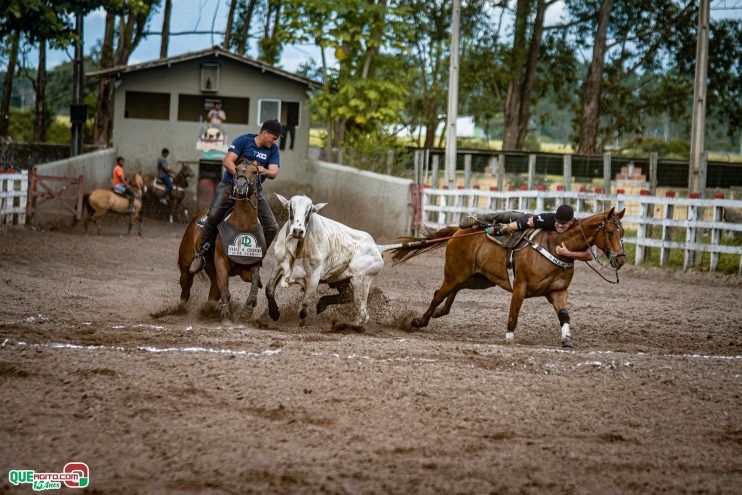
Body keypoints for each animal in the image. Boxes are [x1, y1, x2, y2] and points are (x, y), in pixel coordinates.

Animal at [177, 161, 264, 328]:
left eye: (254, 171)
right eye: (236, 169)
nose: (241, 185)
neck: (243, 224)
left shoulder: (250, 266)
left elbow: (255, 281)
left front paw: (247, 311)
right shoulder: (221, 264)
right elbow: (226, 292)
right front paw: (226, 319)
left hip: (212, 273)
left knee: (213, 293)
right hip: (186, 265)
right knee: (186, 287)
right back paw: (180, 310)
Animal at [270, 195, 390, 330]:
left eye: (309, 211)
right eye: (291, 208)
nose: (297, 230)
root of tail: (377, 247)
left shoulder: (313, 278)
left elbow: (304, 306)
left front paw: (301, 324)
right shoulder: (278, 266)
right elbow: (269, 289)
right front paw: (274, 313)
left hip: (360, 281)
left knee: (363, 315)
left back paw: (341, 324)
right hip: (340, 281)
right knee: (347, 296)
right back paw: (322, 305)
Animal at [390, 207, 628, 346]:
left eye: (622, 232)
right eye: (609, 232)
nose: (620, 259)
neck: (556, 244)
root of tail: (459, 232)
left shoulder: (558, 291)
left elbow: (564, 315)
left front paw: (567, 339)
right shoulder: (520, 287)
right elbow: (513, 315)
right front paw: (509, 338)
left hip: (478, 279)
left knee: (453, 292)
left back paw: (440, 312)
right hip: (455, 273)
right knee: (438, 293)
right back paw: (419, 321)